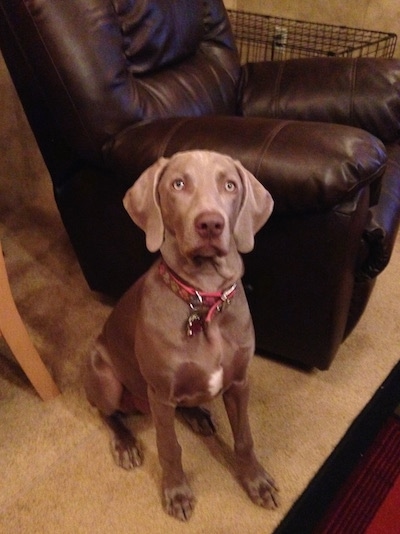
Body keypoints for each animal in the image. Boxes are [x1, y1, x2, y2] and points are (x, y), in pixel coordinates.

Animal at [84, 150, 278, 524]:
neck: (204, 299)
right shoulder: (160, 393)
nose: (211, 224)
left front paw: (256, 482)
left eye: (229, 185)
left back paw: (198, 415)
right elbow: (169, 447)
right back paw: (125, 443)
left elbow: (244, 438)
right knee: (105, 411)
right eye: (178, 184)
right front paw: (176, 493)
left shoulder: (239, 382)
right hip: (107, 377)